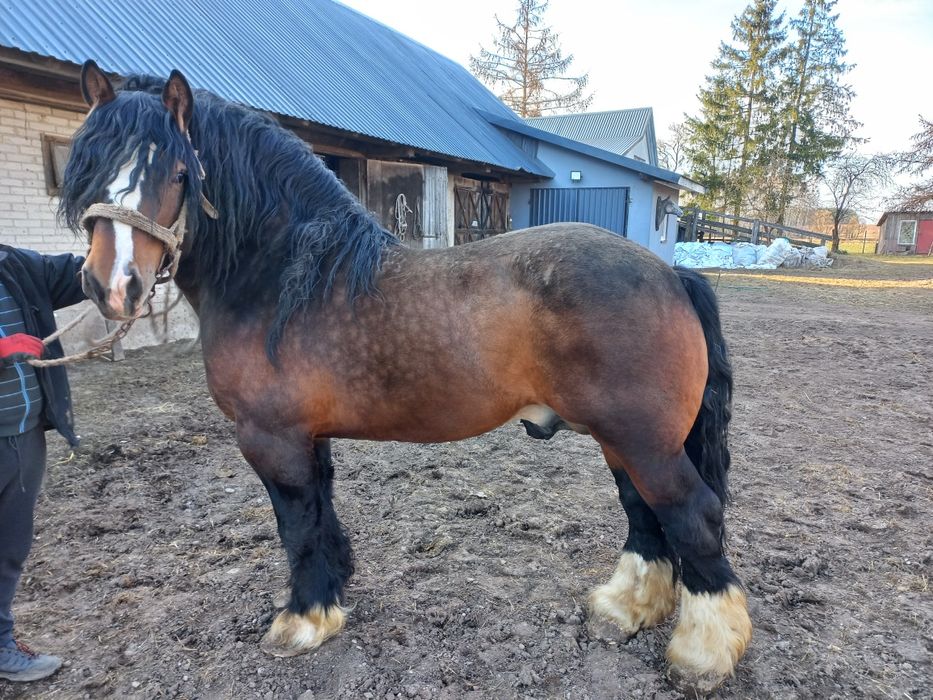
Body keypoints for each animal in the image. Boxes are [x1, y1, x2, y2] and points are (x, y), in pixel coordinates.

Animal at [63, 61, 748, 688]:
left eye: (179, 173)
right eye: (90, 166)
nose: (112, 286)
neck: (284, 279)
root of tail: (670, 274)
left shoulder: (270, 439)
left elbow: (297, 526)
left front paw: (302, 620)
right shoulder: (308, 438)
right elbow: (321, 515)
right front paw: (331, 597)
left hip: (644, 441)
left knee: (692, 516)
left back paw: (703, 654)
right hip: (624, 440)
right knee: (644, 514)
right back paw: (625, 609)